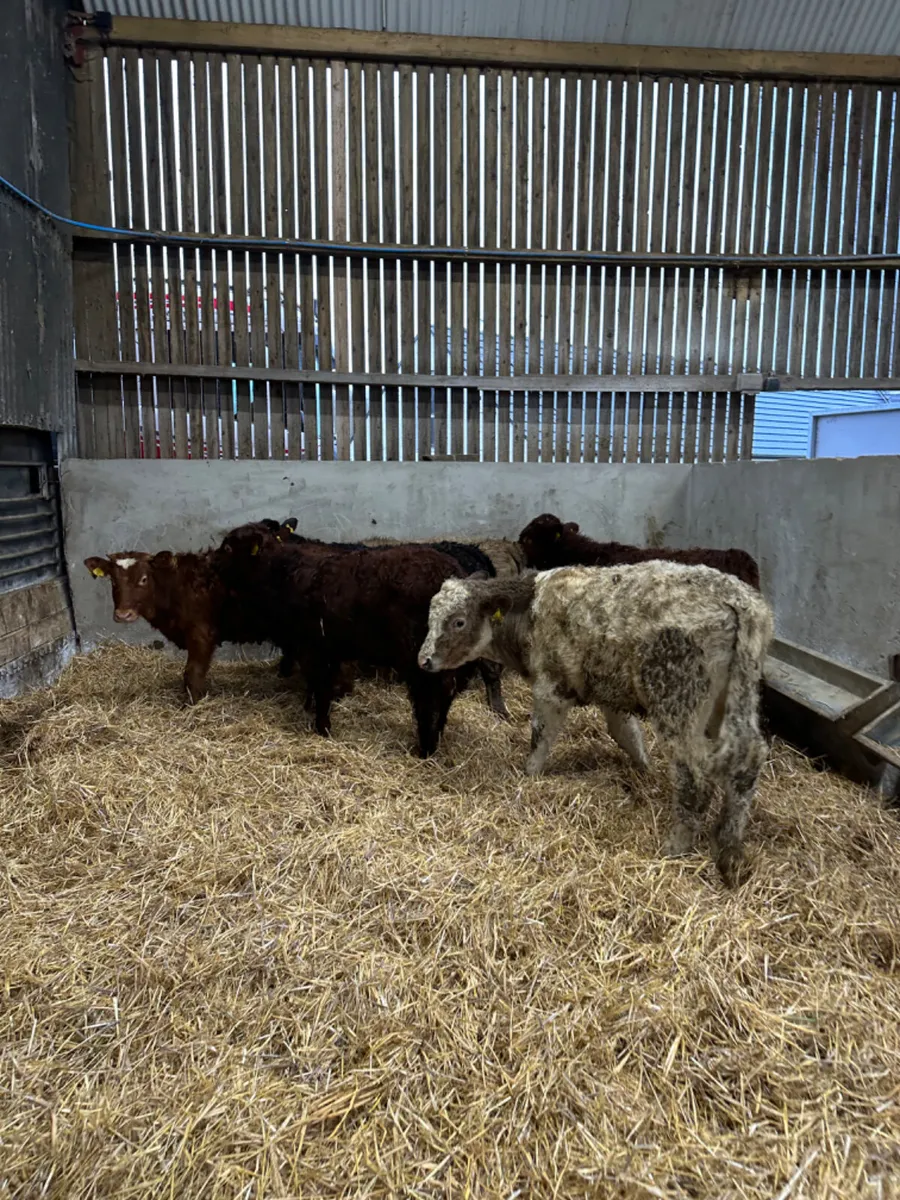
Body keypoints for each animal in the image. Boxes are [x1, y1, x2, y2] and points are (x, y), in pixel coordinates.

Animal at [215, 524, 478, 757]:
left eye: (228, 548)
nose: (212, 561)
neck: (279, 572)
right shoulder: (327, 649)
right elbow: (320, 686)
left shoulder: (314, 647)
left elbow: (322, 688)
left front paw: (322, 728)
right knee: (446, 692)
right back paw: (437, 737)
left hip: (419, 654)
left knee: (430, 696)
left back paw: (426, 747)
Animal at [418, 561, 773, 885]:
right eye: (430, 618)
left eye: (458, 621)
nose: (424, 660)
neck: (529, 609)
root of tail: (737, 600)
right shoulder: (610, 693)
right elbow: (626, 735)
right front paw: (645, 771)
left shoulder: (551, 687)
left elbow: (540, 737)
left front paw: (528, 775)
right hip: (734, 697)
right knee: (747, 757)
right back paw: (729, 851)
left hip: (677, 701)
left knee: (696, 776)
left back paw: (676, 847)